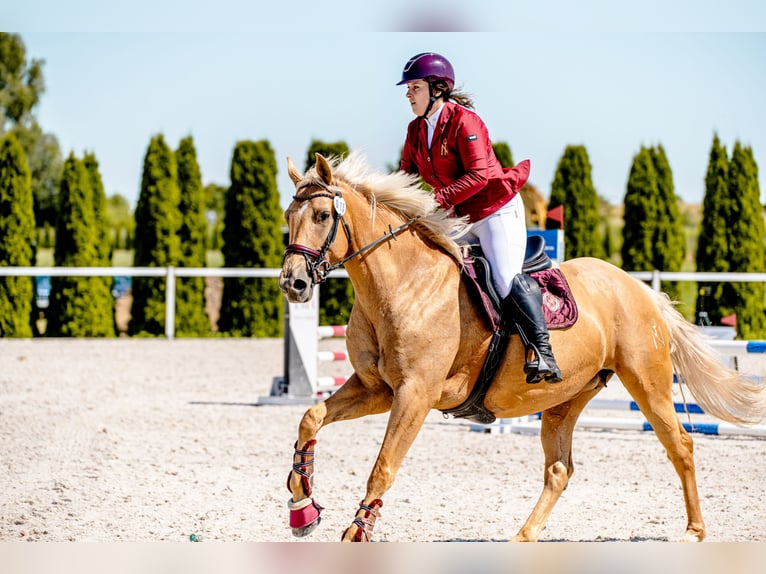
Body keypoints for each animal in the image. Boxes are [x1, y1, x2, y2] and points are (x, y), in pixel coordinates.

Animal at [278, 152, 766, 544]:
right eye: (288, 215)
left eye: (322, 216)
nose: (293, 284)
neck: (403, 284)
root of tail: (641, 290)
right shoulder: (375, 389)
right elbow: (310, 417)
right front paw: (302, 504)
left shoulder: (414, 394)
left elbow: (383, 466)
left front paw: (356, 531)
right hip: (565, 398)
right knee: (559, 469)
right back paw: (523, 537)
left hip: (647, 382)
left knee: (679, 445)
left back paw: (694, 531)